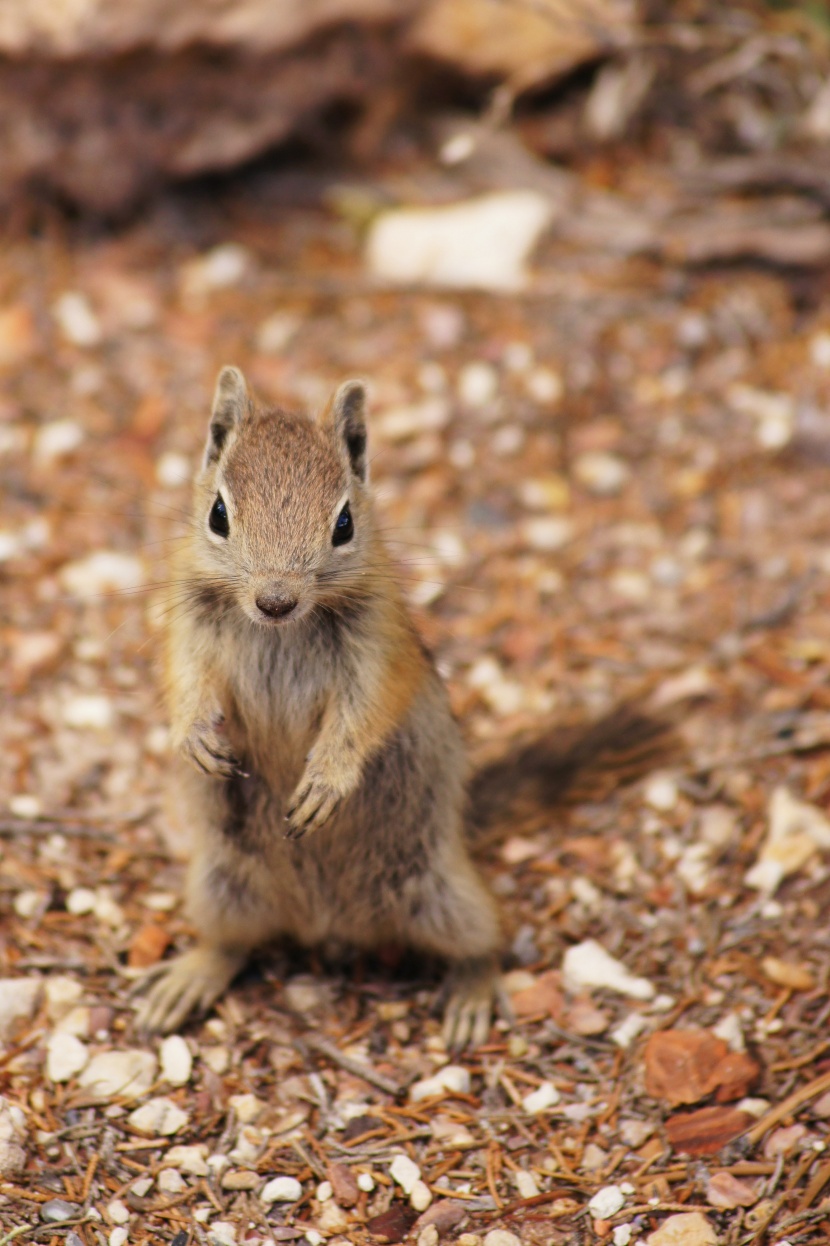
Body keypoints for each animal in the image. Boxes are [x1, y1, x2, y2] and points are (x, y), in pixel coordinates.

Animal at [135, 363, 677, 1046]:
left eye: (343, 524)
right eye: (217, 515)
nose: (275, 600)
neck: (281, 630)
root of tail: (329, 928)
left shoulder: (379, 645)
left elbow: (366, 709)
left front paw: (326, 781)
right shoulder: (188, 622)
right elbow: (185, 678)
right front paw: (194, 737)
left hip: (443, 893)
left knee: (486, 941)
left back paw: (471, 996)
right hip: (219, 884)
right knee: (228, 945)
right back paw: (188, 979)